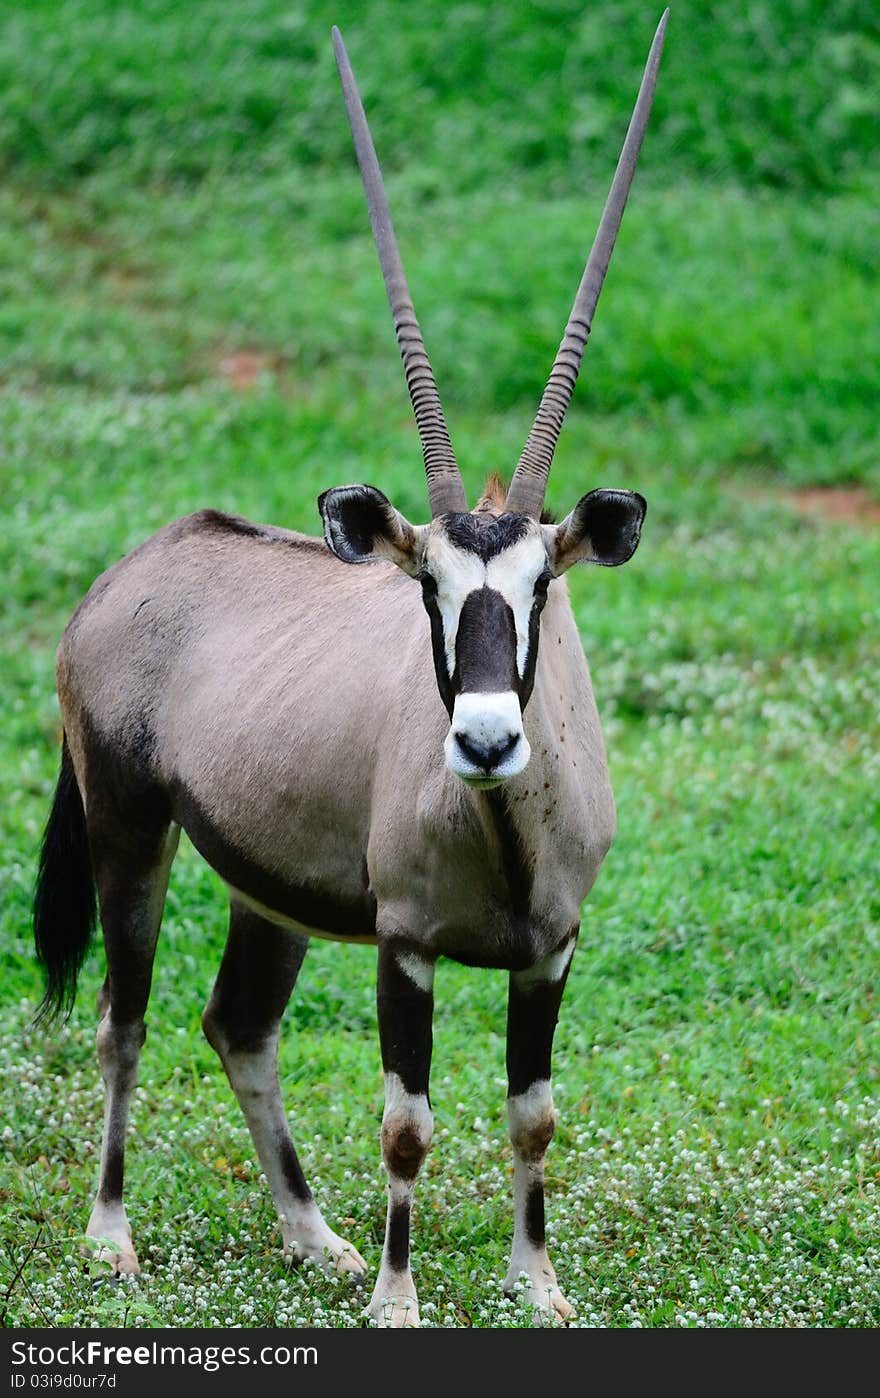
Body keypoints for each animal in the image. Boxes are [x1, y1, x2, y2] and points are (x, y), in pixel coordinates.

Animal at [32, 13, 665, 1319]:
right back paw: (113, 1234)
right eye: (426, 587)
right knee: (126, 1019)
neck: (502, 831)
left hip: (265, 887)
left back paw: (308, 1234)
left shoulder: (552, 950)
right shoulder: (406, 945)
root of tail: (132, 571)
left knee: (238, 1025)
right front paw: (397, 1298)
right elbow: (408, 1126)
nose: (485, 742)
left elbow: (532, 1115)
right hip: (130, 833)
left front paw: (537, 1285)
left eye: (542, 585)